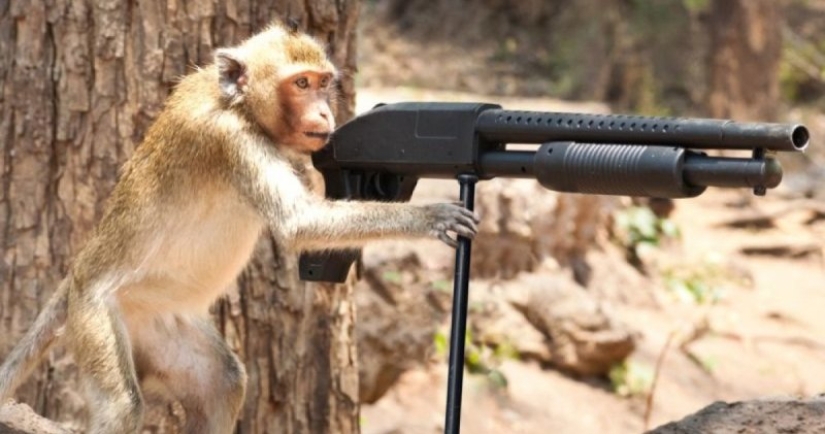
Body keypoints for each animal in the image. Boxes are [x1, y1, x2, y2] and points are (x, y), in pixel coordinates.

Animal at [0, 22, 479, 434]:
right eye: (300, 84)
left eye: (322, 82)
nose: (326, 112)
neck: (240, 107)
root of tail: (78, 272)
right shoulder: (231, 140)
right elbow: (300, 223)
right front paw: (432, 215)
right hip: (94, 315)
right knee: (121, 408)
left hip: (158, 325)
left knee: (225, 382)